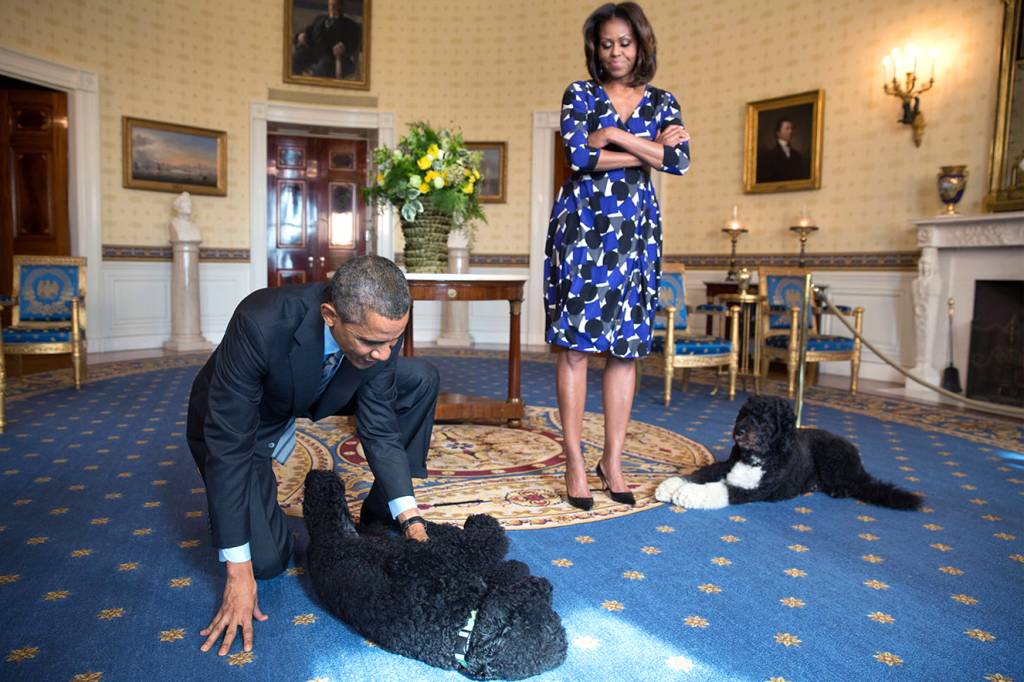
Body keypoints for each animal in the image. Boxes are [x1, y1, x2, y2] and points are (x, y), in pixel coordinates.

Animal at [299, 471, 569, 675]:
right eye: (543, 602)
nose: (544, 583)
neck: (464, 632)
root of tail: (318, 546)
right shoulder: (441, 556)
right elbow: (475, 541)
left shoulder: (440, 557)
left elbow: (478, 543)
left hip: (339, 522)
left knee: (323, 496)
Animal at [659, 393, 925, 509]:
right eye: (743, 414)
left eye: (763, 421)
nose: (739, 432)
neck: (757, 458)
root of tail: (857, 459)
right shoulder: (726, 466)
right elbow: (701, 473)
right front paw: (671, 485)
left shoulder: (754, 490)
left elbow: (719, 489)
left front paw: (687, 494)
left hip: (832, 460)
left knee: (853, 486)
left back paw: (836, 490)